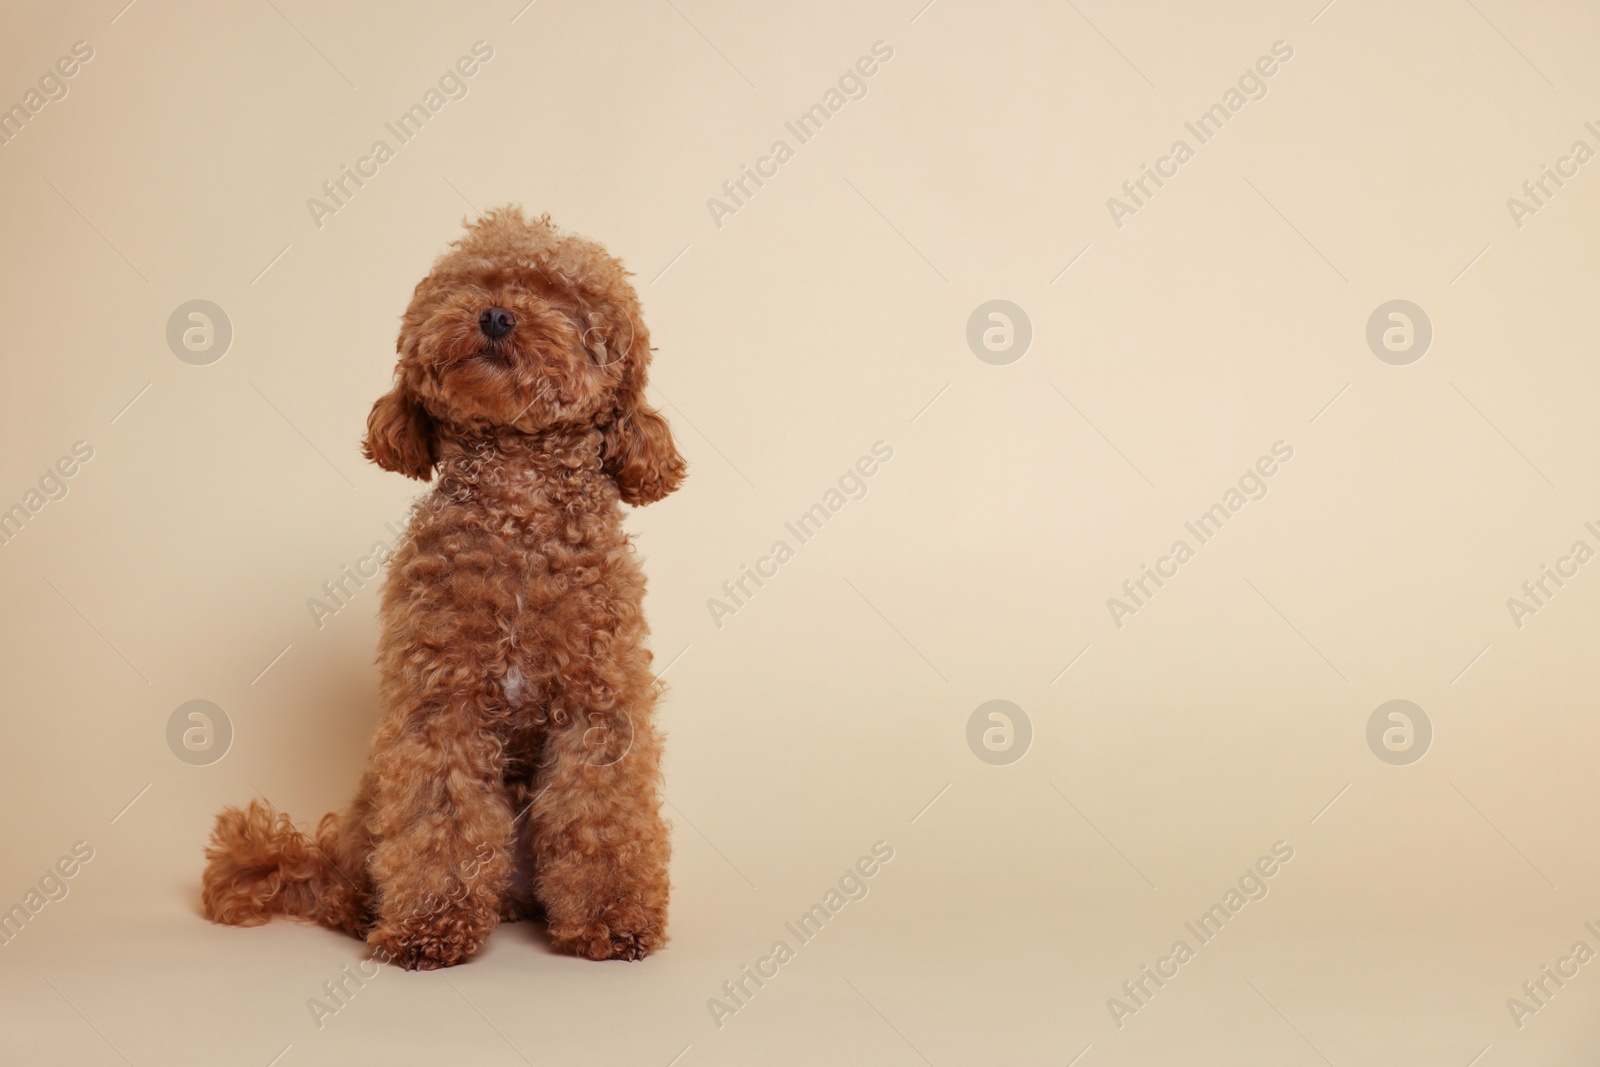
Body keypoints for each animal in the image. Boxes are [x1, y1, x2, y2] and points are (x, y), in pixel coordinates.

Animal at [198, 206, 681, 966]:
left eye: (565, 300)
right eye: (469, 285)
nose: (496, 315)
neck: (518, 500)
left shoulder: (599, 706)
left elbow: (602, 815)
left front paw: (610, 919)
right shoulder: (439, 706)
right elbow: (439, 816)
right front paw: (429, 926)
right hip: (370, 808)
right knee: (349, 881)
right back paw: (369, 908)